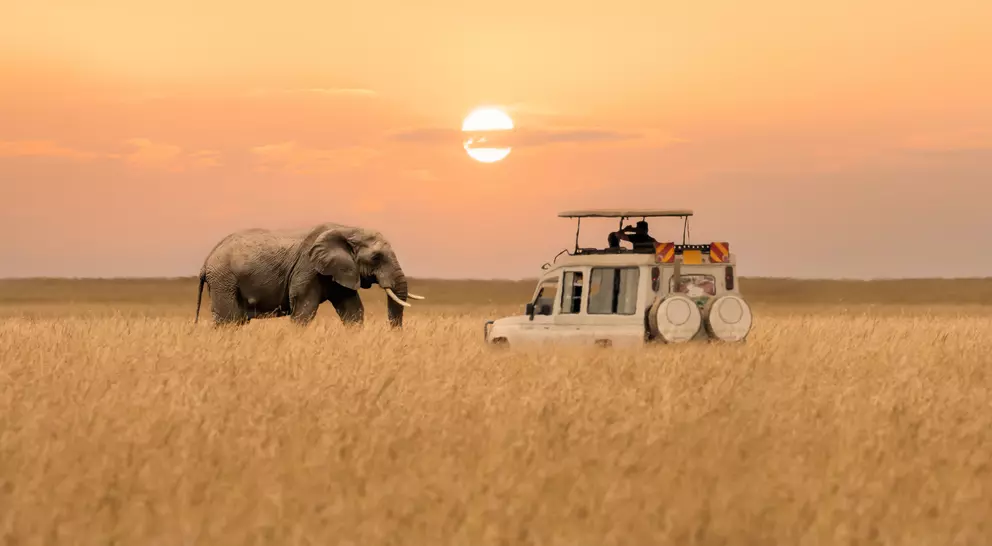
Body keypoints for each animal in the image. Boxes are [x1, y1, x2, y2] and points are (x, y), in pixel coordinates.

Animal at [194, 222, 424, 327]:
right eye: (376, 257)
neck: (346, 229)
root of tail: (206, 261)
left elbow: (353, 310)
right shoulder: (307, 269)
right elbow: (304, 310)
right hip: (224, 279)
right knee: (229, 320)